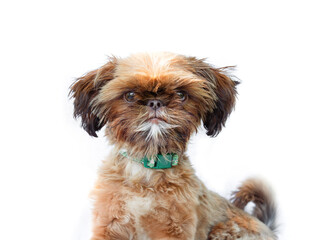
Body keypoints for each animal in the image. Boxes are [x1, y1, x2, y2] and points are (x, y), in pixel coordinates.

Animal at [68, 51, 276, 239]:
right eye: (130, 95)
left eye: (181, 94)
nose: (155, 102)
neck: (147, 169)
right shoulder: (110, 226)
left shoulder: (172, 230)